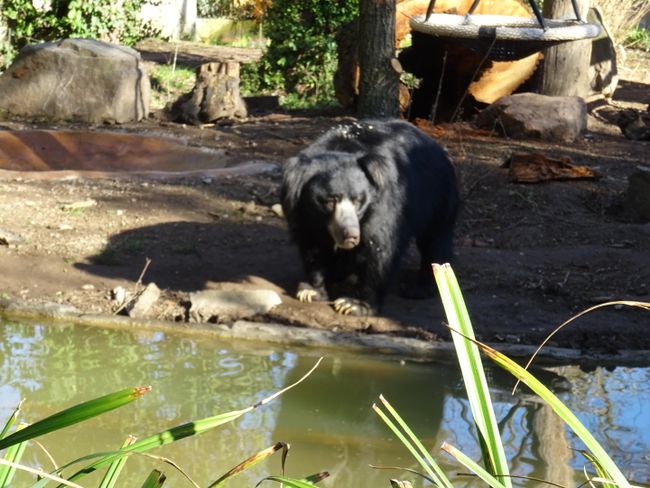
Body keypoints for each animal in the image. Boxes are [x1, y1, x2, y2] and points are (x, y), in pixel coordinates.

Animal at [280, 120, 458, 314]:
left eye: (358, 200)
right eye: (329, 201)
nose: (351, 235)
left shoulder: (386, 204)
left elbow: (380, 249)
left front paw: (354, 304)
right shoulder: (303, 212)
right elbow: (313, 246)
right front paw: (311, 291)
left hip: (437, 197)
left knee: (434, 240)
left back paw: (419, 288)